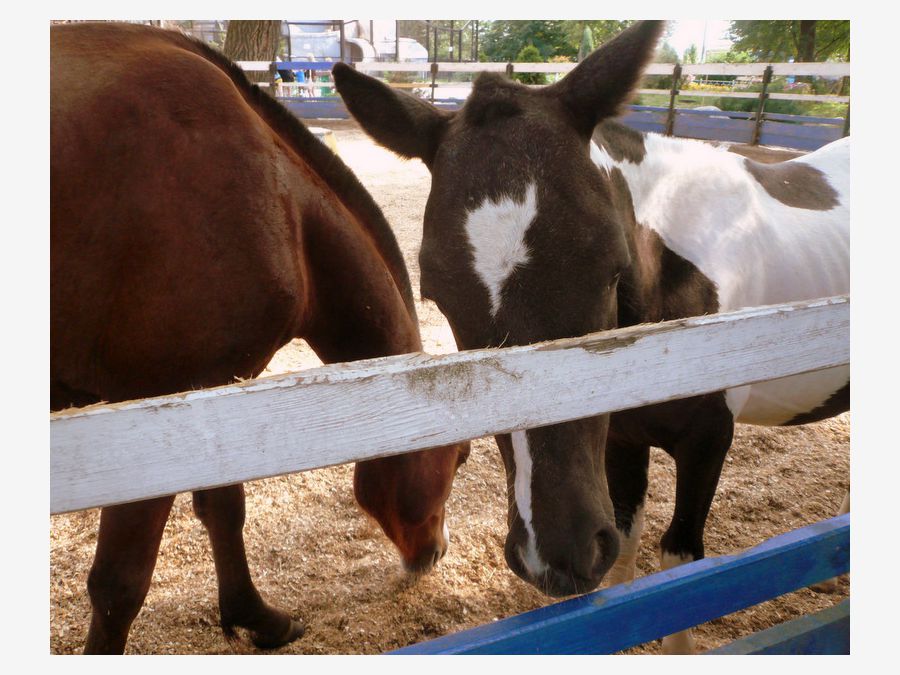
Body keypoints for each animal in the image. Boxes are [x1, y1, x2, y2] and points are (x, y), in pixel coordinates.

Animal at [51, 25, 464, 656]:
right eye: (459, 457)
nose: (435, 553)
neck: (284, 205)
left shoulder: (217, 391)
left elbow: (223, 508)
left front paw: (256, 616)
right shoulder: (148, 417)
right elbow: (120, 584)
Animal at [332, 19, 852, 656]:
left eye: (610, 267)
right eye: (438, 294)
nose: (557, 556)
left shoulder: (710, 440)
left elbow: (679, 572)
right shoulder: (621, 440)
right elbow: (626, 558)